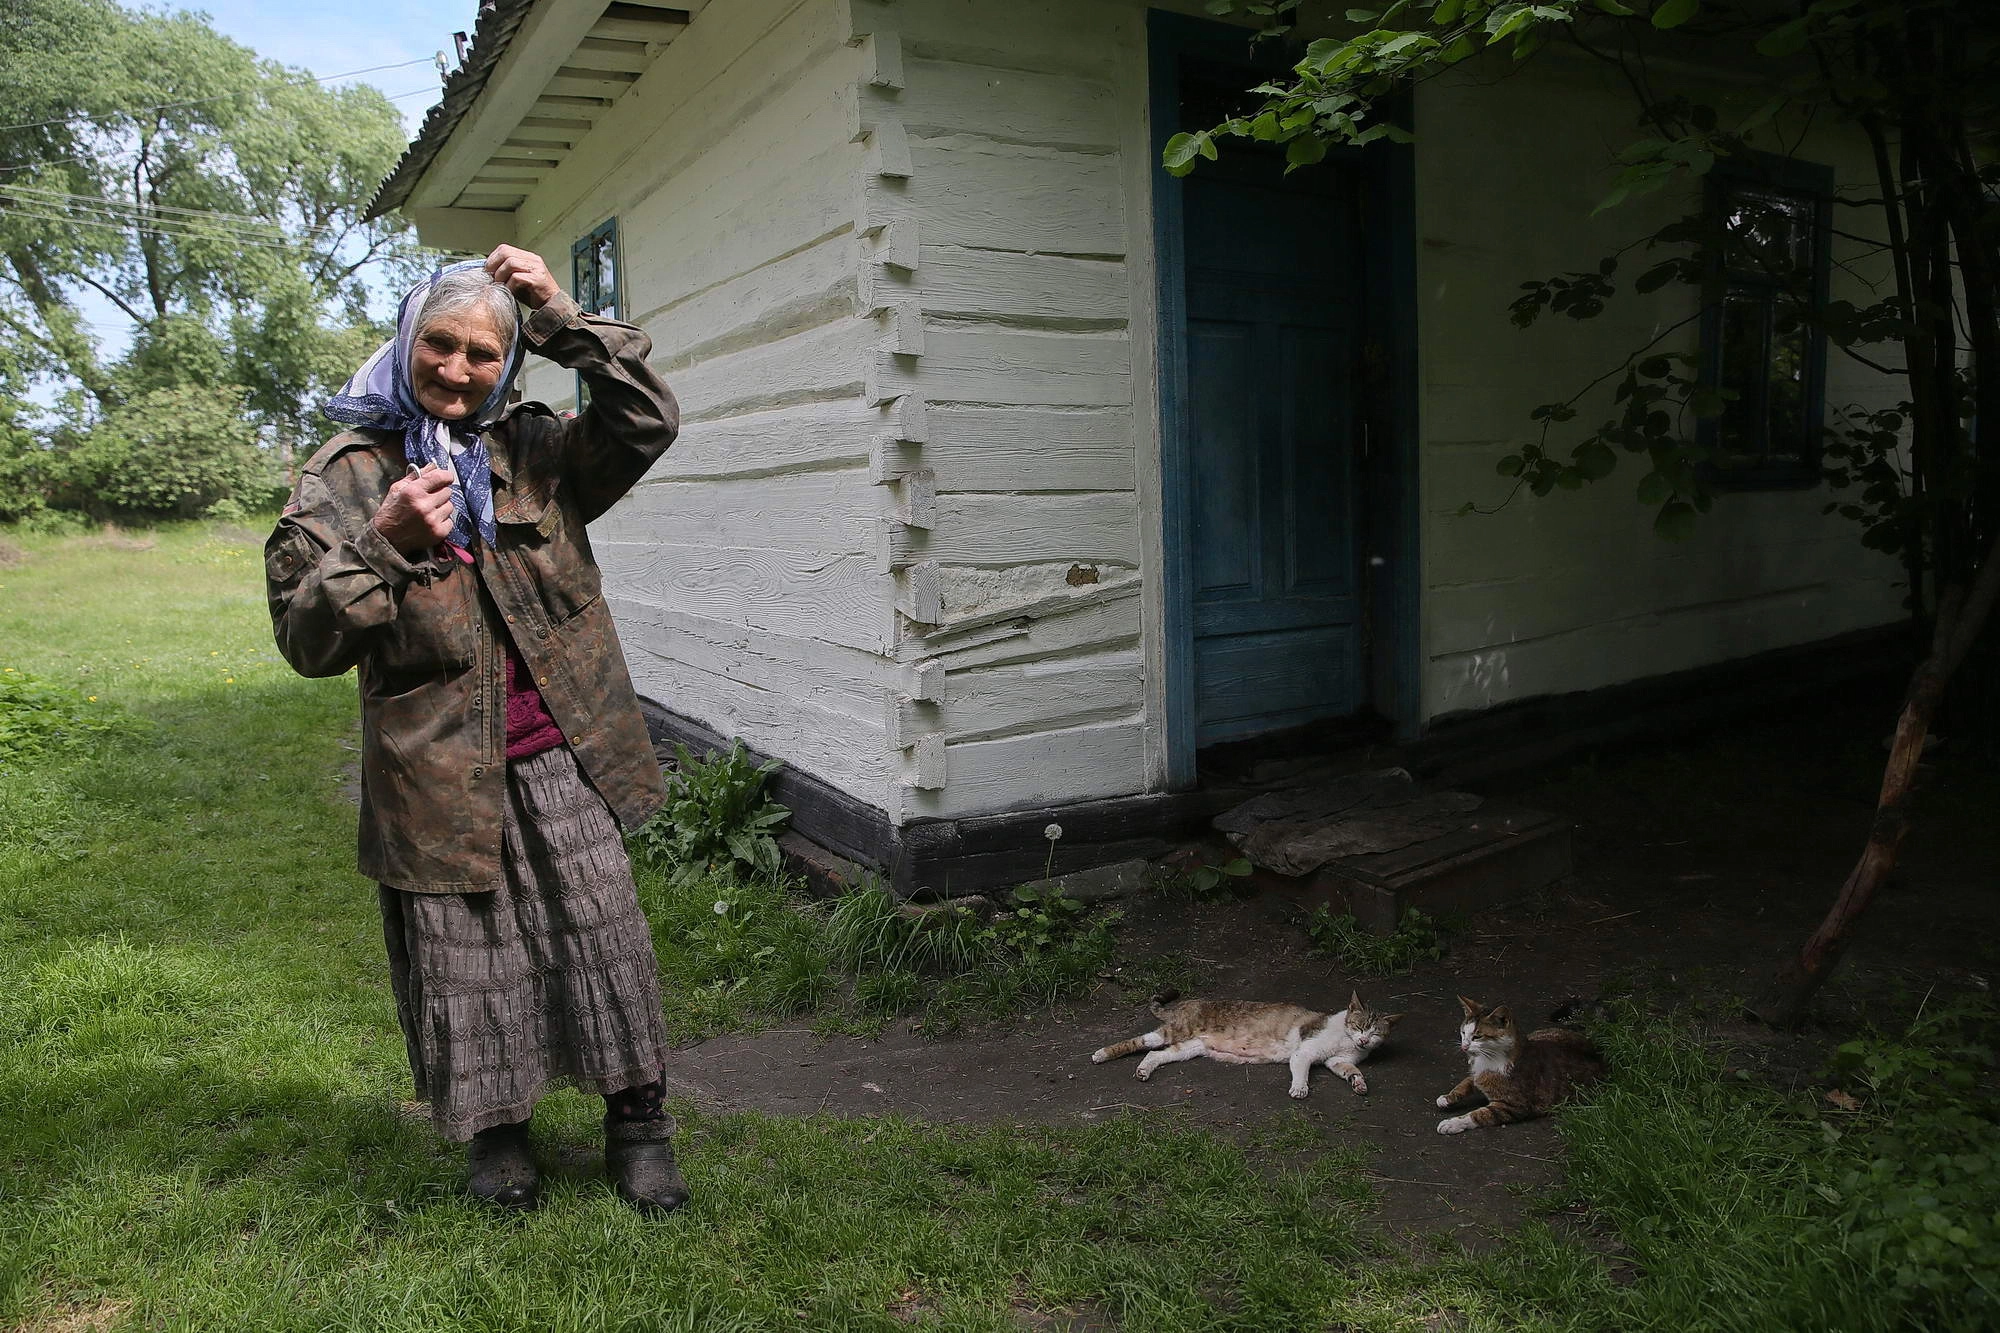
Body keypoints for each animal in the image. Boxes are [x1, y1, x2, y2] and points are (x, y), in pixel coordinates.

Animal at [1088, 980, 1400, 1096]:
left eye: (1375, 1033)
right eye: (1359, 1026)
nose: (1363, 1040)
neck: (1346, 1041)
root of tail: (1188, 1004)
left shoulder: (1337, 1061)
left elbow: (1350, 1070)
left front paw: (1359, 1083)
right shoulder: (1306, 1052)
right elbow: (1301, 1071)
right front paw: (1299, 1088)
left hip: (1191, 1047)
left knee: (1156, 1054)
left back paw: (1144, 1070)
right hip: (1173, 1032)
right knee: (1141, 1042)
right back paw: (1101, 1054)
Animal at [1440, 992, 1608, 1128]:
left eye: (1477, 1036)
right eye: (1463, 1032)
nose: (1464, 1047)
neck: (1488, 1058)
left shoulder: (1512, 1106)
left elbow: (1477, 1115)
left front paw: (1451, 1124)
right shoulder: (1477, 1073)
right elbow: (1467, 1081)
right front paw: (1446, 1098)